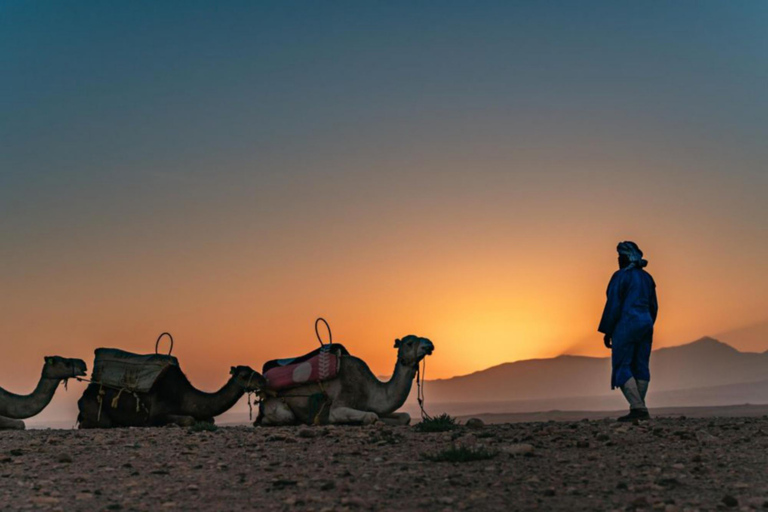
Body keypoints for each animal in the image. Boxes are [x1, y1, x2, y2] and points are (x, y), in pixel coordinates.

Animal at [76, 364, 266, 428]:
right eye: (244, 375)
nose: (263, 380)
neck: (184, 397)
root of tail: (82, 396)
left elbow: (210, 420)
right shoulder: (155, 415)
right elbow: (189, 419)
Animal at [258, 334, 436, 426]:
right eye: (409, 342)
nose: (429, 344)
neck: (370, 390)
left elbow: (404, 416)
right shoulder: (340, 403)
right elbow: (371, 416)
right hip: (276, 406)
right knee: (283, 417)